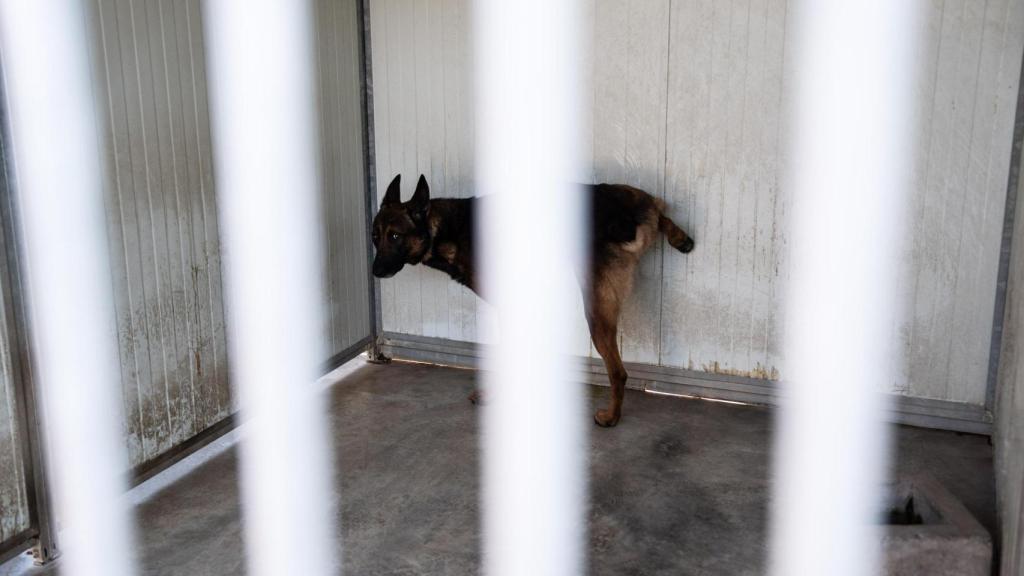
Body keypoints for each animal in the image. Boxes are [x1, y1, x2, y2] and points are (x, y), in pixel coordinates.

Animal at [370, 172, 696, 424]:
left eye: (395, 236)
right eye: (375, 237)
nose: (374, 271)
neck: (446, 230)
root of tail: (628, 217)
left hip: (596, 309)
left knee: (618, 372)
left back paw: (611, 417)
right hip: (631, 199)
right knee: (658, 205)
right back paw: (679, 235)